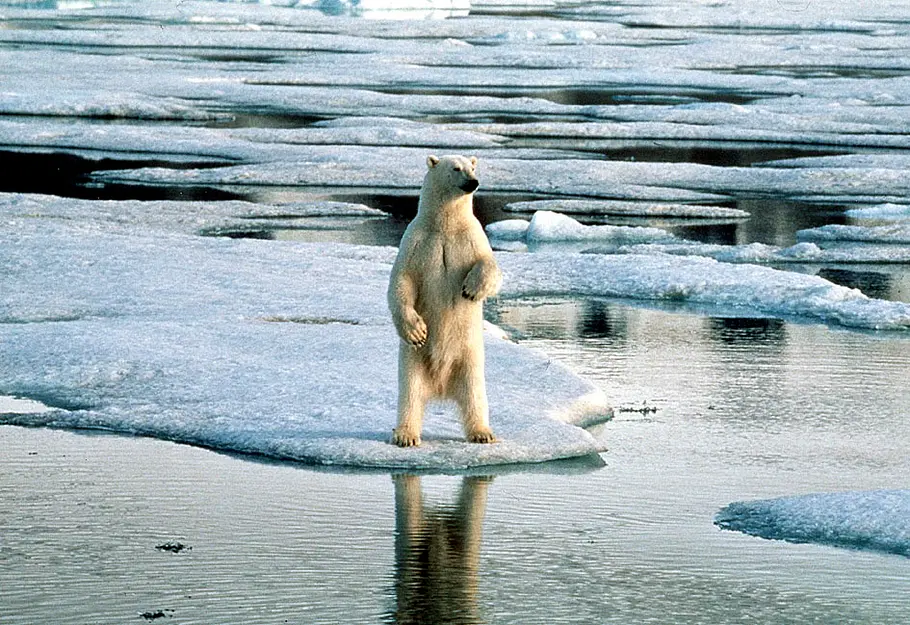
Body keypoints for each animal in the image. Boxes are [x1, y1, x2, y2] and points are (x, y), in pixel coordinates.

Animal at [387, 154, 502, 447]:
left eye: (473, 167)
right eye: (456, 168)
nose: (473, 182)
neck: (445, 226)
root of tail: (440, 388)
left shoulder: (472, 238)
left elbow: (490, 267)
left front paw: (470, 290)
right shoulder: (416, 242)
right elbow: (402, 282)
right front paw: (417, 331)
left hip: (470, 359)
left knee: (475, 395)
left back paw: (482, 432)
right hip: (412, 362)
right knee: (410, 394)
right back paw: (406, 435)